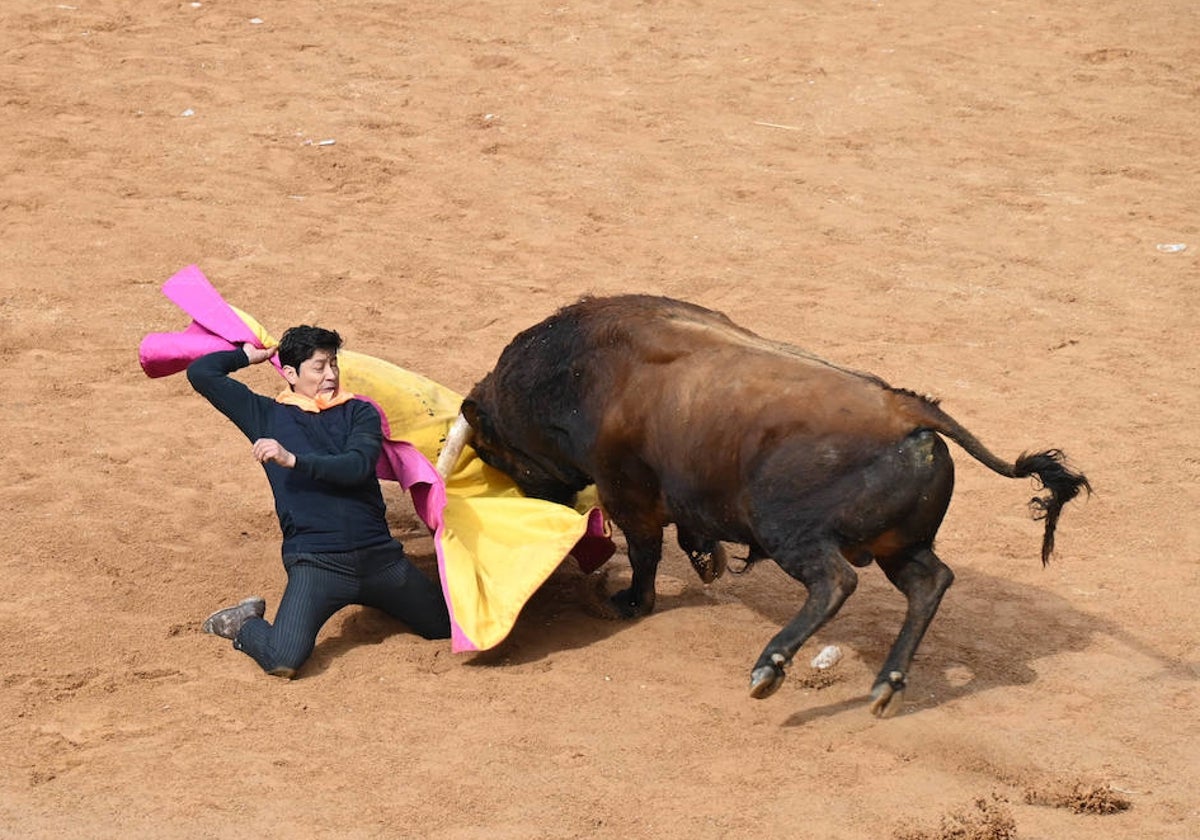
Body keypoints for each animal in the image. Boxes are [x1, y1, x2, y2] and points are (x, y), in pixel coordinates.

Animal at [439, 295, 1089, 715]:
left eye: (499, 453)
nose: (537, 500)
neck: (578, 373)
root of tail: (909, 410)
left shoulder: (629, 492)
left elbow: (647, 553)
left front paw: (628, 602)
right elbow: (688, 535)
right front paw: (707, 563)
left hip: (790, 531)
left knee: (835, 582)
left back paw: (770, 666)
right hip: (899, 546)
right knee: (930, 582)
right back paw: (886, 684)